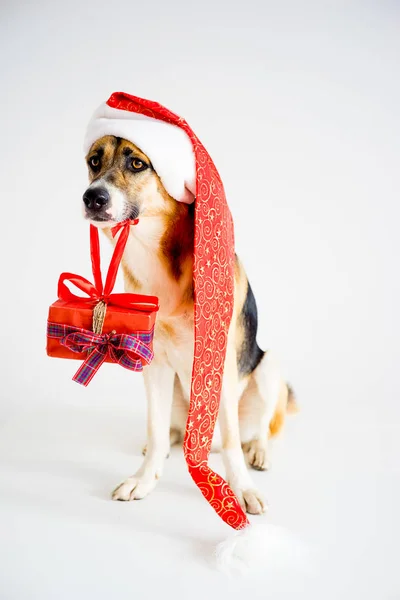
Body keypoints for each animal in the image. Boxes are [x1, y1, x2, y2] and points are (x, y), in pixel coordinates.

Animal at [83, 136, 296, 516]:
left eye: (137, 164)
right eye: (94, 161)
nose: (92, 197)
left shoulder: (219, 365)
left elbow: (232, 444)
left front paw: (242, 489)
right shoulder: (153, 363)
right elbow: (154, 430)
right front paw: (144, 479)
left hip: (268, 368)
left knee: (258, 431)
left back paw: (257, 451)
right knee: (170, 429)